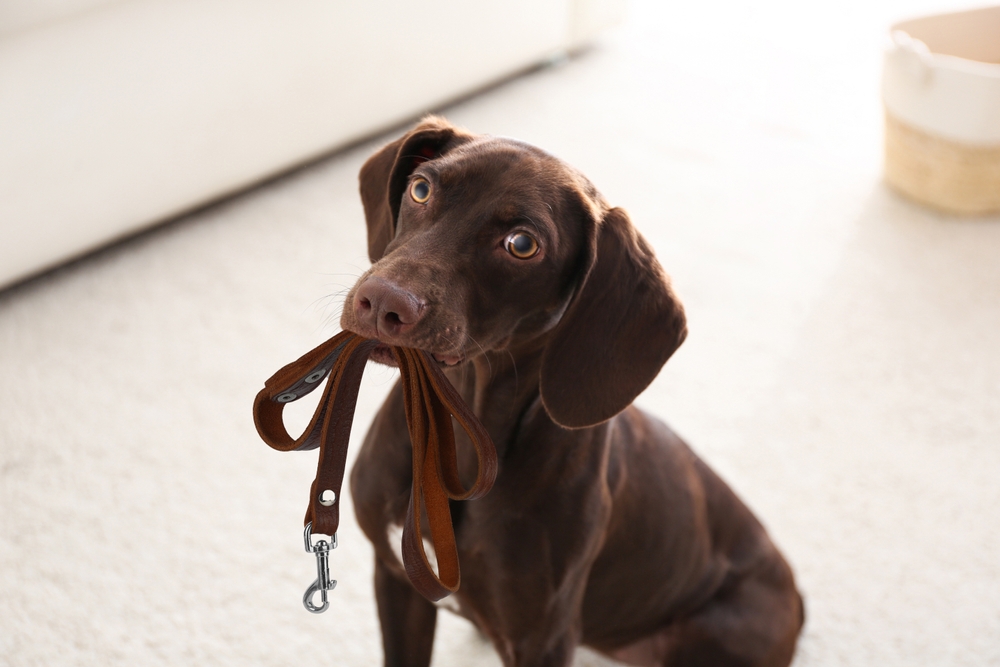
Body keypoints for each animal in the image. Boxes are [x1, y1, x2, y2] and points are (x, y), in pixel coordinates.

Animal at [344, 117, 804, 664]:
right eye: (421, 189)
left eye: (522, 244)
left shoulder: (542, 639)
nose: (382, 302)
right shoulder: (397, 580)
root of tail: (797, 597)